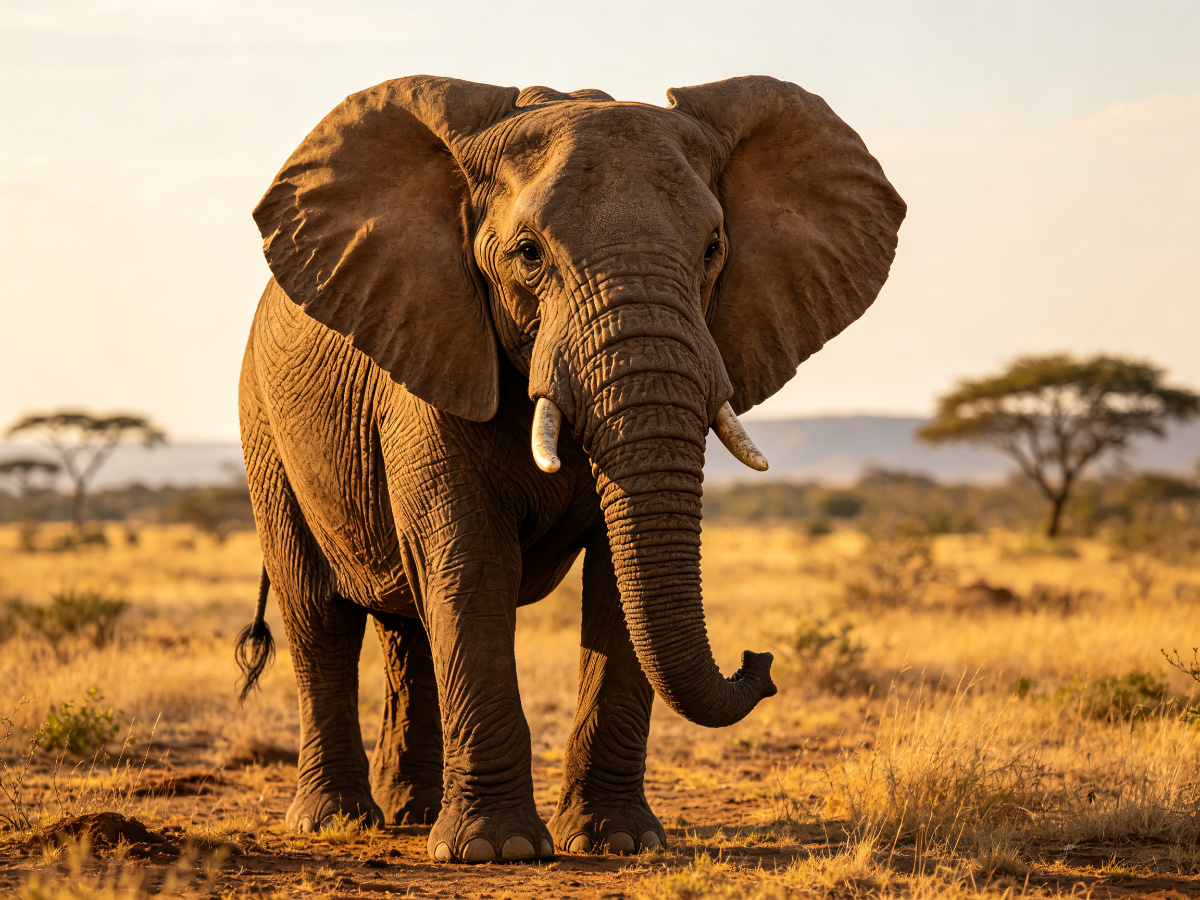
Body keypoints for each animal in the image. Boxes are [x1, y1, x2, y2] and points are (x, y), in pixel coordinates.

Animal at [235, 74, 904, 864]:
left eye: (714, 248)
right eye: (527, 253)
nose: (758, 660)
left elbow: (617, 582)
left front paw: (621, 841)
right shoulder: (432, 358)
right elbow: (470, 564)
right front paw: (496, 853)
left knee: (409, 627)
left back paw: (413, 814)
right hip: (265, 425)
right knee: (320, 614)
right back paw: (337, 822)